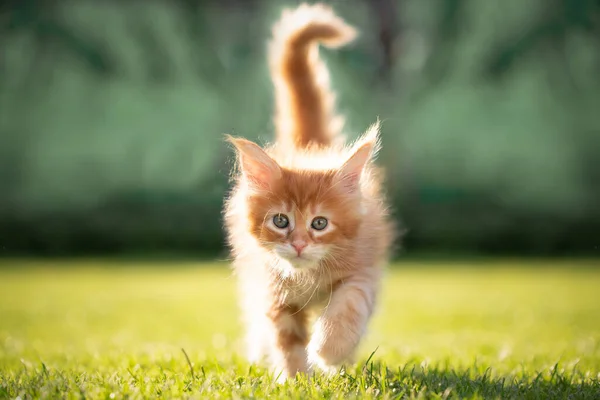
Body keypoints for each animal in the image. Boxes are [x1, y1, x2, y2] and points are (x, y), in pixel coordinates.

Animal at [223, 3, 396, 384]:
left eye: (319, 223)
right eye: (280, 220)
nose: (300, 244)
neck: (308, 277)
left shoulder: (362, 273)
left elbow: (348, 307)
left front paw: (329, 352)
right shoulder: (272, 291)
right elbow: (286, 339)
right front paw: (295, 380)